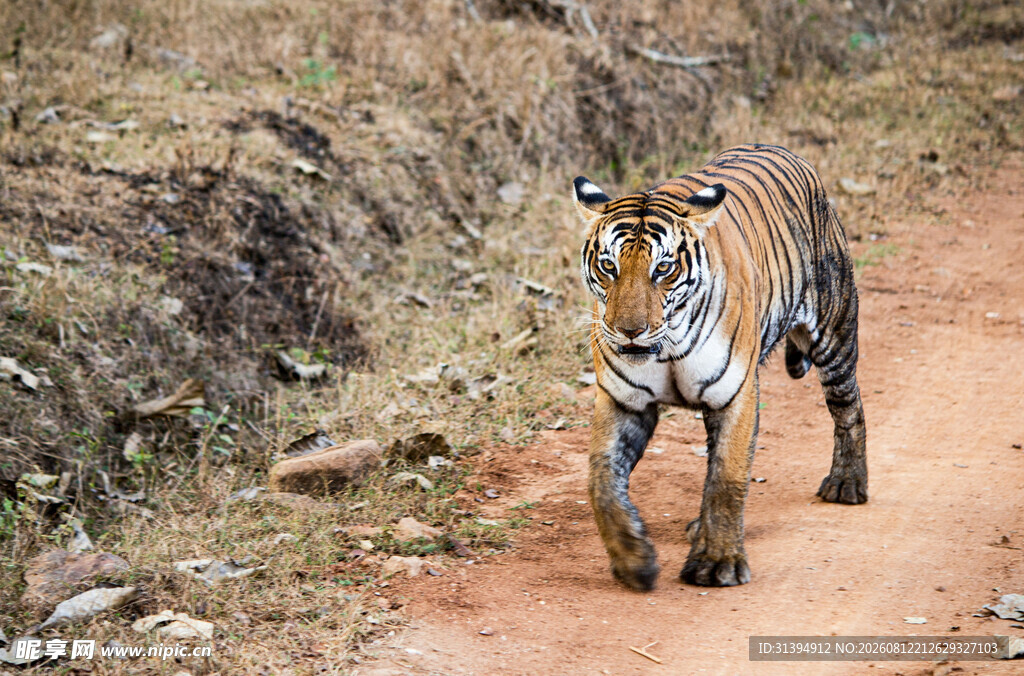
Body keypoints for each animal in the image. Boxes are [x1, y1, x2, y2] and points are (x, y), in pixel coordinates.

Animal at [574, 143, 867, 590]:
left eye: (663, 268)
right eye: (609, 267)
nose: (629, 331)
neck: (666, 347)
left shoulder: (736, 395)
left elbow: (727, 478)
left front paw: (717, 562)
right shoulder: (623, 402)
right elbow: (601, 480)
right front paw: (634, 561)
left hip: (834, 334)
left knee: (848, 407)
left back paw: (847, 482)